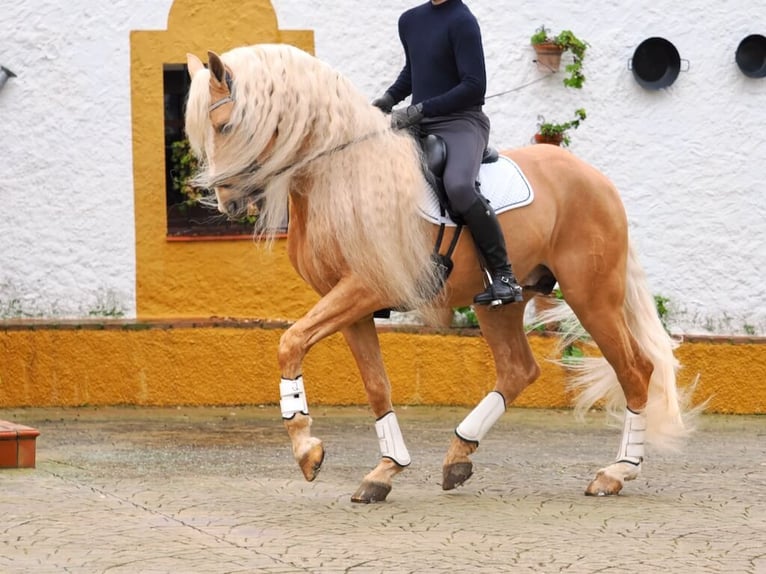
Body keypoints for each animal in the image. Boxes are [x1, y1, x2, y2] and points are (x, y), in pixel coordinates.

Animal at [184, 45, 688, 504]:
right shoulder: (351, 305)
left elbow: (290, 342)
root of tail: (597, 180)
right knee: (518, 369)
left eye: (225, 125)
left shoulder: (365, 288)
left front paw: (308, 450)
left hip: (591, 296)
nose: (228, 203)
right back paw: (458, 456)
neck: (340, 175)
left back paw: (616, 473)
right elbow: (376, 385)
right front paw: (384, 471)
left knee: (636, 369)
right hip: (503, 302)